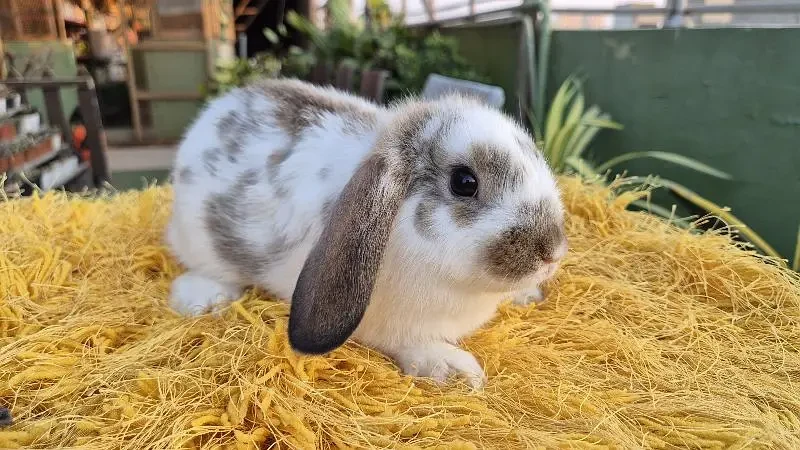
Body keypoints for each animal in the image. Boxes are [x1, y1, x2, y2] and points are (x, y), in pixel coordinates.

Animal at [166, 77, 568, 386]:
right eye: (464, 182)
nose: (552, 252)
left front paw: (528, 295)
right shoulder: (391, 326)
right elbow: (410, 344)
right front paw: (455, 370)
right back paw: (203, 298)